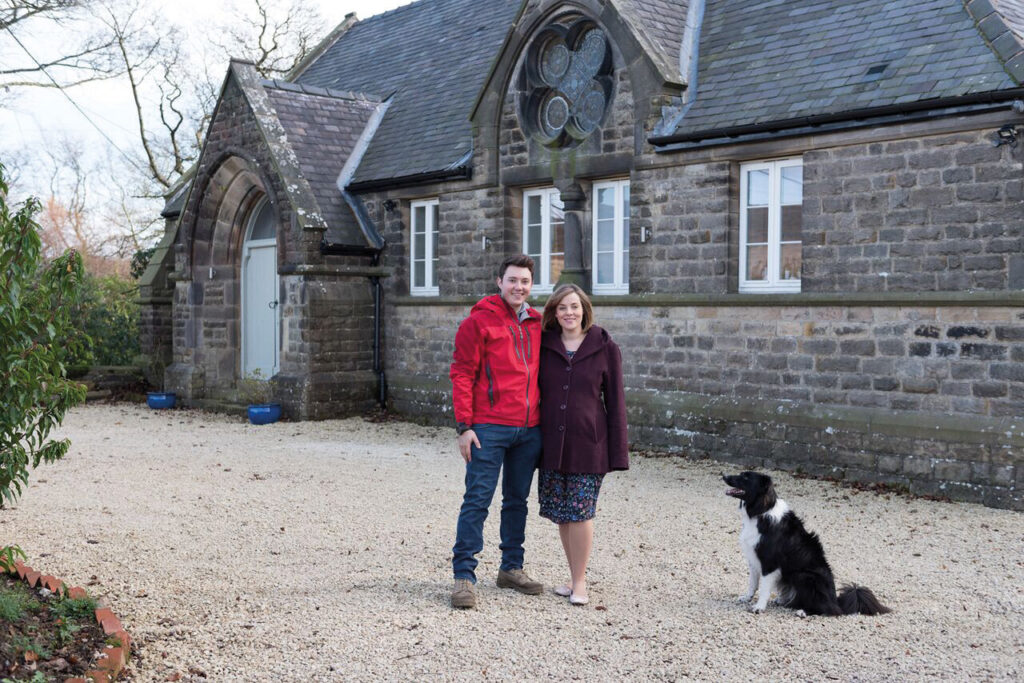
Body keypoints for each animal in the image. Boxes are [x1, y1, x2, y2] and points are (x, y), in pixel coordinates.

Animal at [720, 473, 888, 618]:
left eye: (746, 478)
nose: (724, 476)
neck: (760, 511)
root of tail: (836, 601)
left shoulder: (769, 563)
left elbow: (764, 589)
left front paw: (759, 607)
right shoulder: (754, 559)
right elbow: (753, 583)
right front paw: (747, 598)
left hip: (804, 576)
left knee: (828, 610)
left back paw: (804, 611)